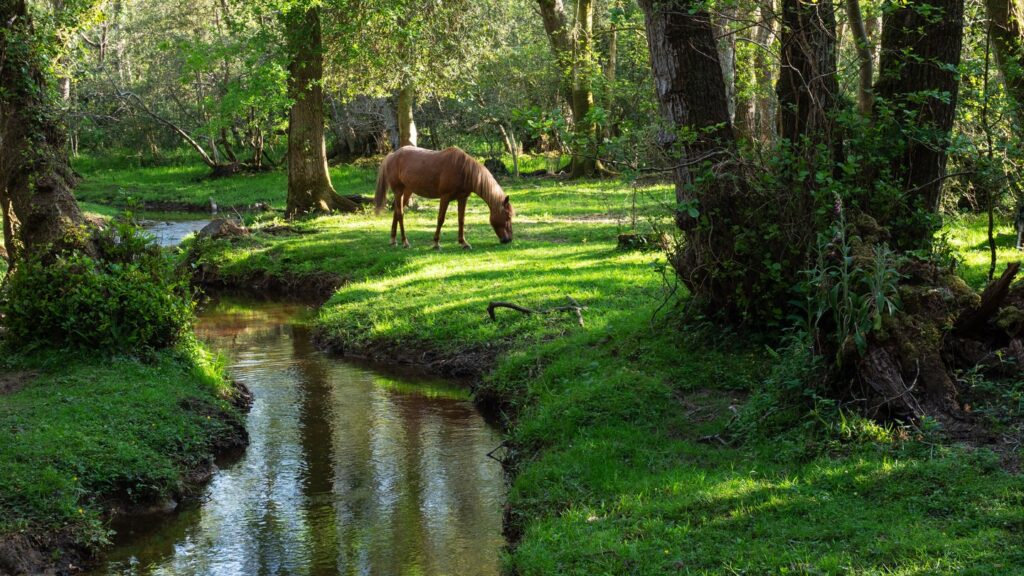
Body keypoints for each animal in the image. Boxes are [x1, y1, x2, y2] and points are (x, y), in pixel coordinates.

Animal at [374, 146, 514, 249]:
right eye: (507, 216)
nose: (508, 240)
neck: (463, 170)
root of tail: (392, 155)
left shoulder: (462, 198)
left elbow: (461, 220)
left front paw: (464, 243)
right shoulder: (445, 197)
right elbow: (440, 219)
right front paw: (436, 243)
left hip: (407, 192)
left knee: (396, 213)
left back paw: (393, 240)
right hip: (398, 191)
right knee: (400, 214)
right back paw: (405, 242)